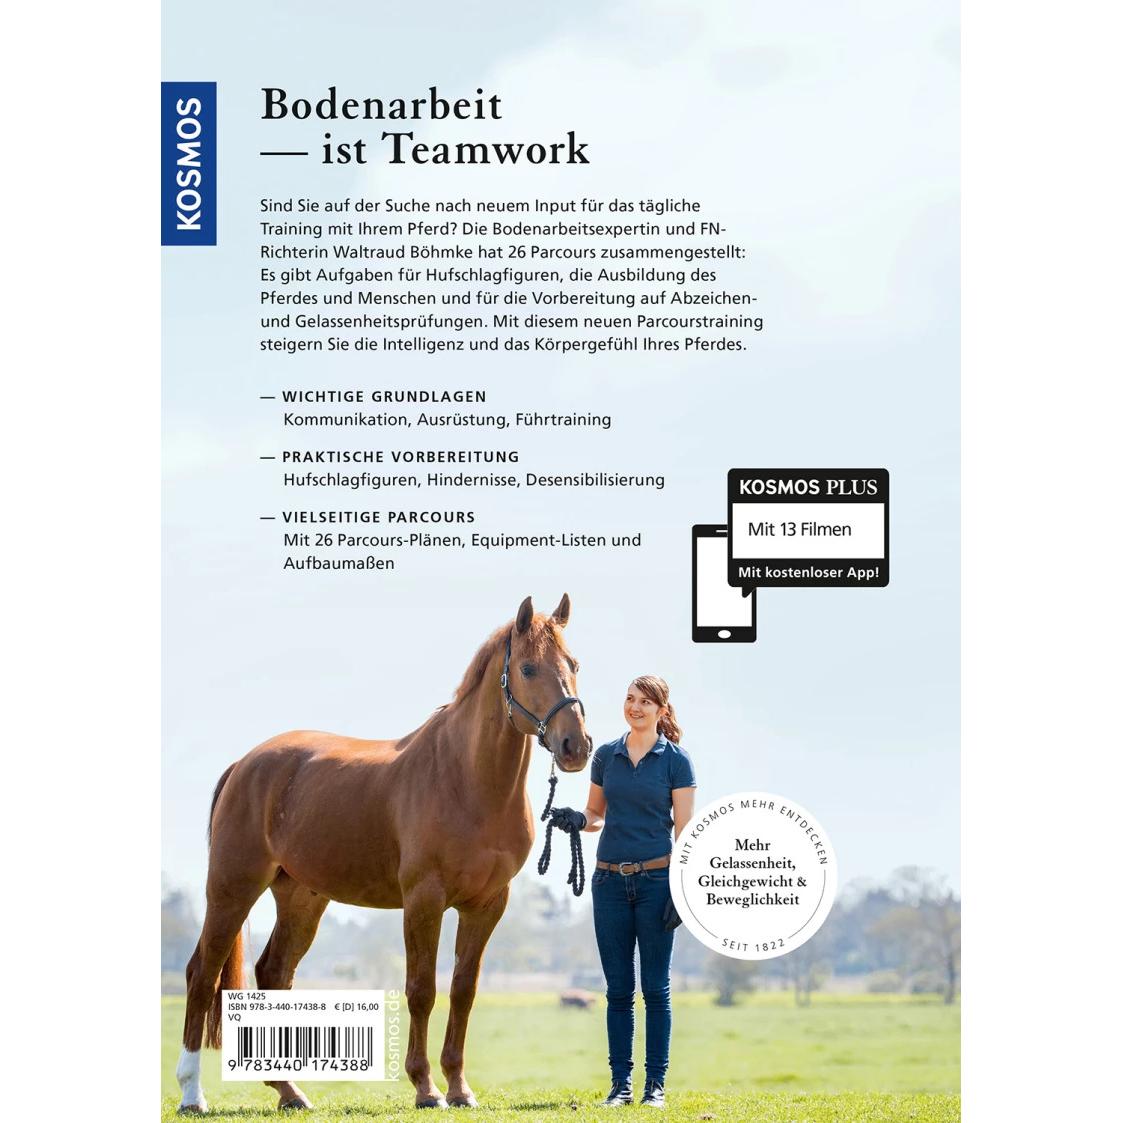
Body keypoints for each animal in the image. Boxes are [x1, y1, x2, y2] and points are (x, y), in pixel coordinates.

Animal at [176, 594, 592, 1112]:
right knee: (202, 974)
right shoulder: (423, 901)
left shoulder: (487, 905)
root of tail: (244, 764)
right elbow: (422, 990)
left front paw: (460, 1089)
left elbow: (463, 991)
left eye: (573, 664)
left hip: (301, 898)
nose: (576, 746)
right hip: (233, 888)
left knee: (274, 973)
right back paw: (192, 1094)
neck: (465, 780)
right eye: (529, 668)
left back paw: (290, 1091)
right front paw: (426, 1089)